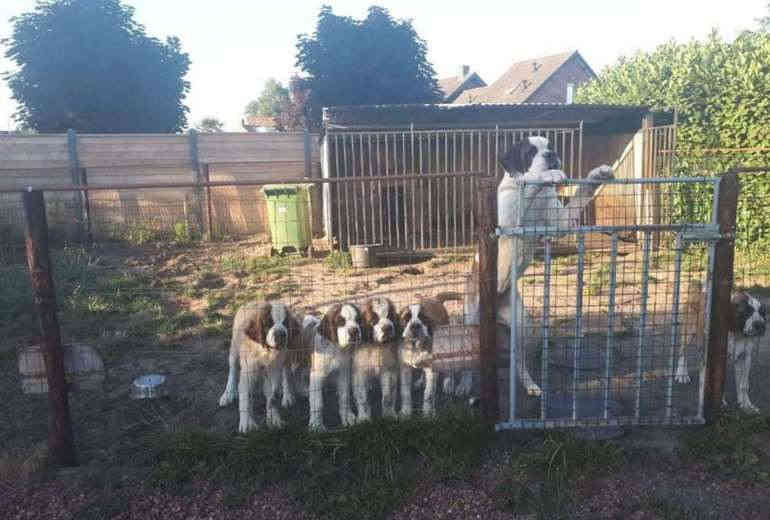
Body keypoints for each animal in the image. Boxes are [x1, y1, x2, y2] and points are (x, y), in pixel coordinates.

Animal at [219, 302, 300, 432]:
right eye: (268, 323)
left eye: (285, 323)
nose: (281, 334)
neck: (266, 351)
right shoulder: (248, 372)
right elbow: (246, 397)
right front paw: (247, 423)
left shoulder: (274, 369)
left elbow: (272, 395)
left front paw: (273, 417)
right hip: (234, 349)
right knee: (233, 370)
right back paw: (228, 393)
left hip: (287, 355)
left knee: (286, 374)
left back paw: (287, 395)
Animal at [304, 300, 362, 430]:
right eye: (341, 321)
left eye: (358, 319)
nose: (354, 331)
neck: (335, 348)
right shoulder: (316, 375)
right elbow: (317, 401)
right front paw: (316, 424)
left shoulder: (343, 372)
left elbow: (344, 396)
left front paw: (347, 417)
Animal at [462, 135, 612, 398]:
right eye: (530, 152)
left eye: (550, 146)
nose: (551, 154)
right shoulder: (508, 221)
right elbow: (527, 181)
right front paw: (547, 175)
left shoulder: (561, 224)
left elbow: (578, 196)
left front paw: (597, 175)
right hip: (472, 321)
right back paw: (463, 384)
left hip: (521, 325)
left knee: (519, 360)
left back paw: (530, 384)